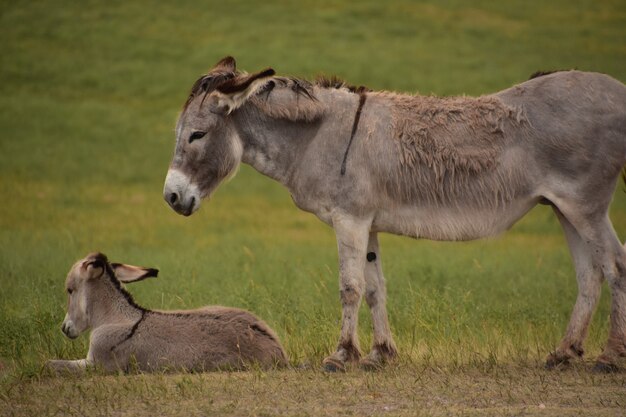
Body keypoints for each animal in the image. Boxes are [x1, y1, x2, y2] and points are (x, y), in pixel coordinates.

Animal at [47, 252, 288, 372]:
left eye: (70, 290)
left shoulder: (96, 364)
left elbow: (52, 365)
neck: (114, 319)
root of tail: (277, 349)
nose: (64, 328)